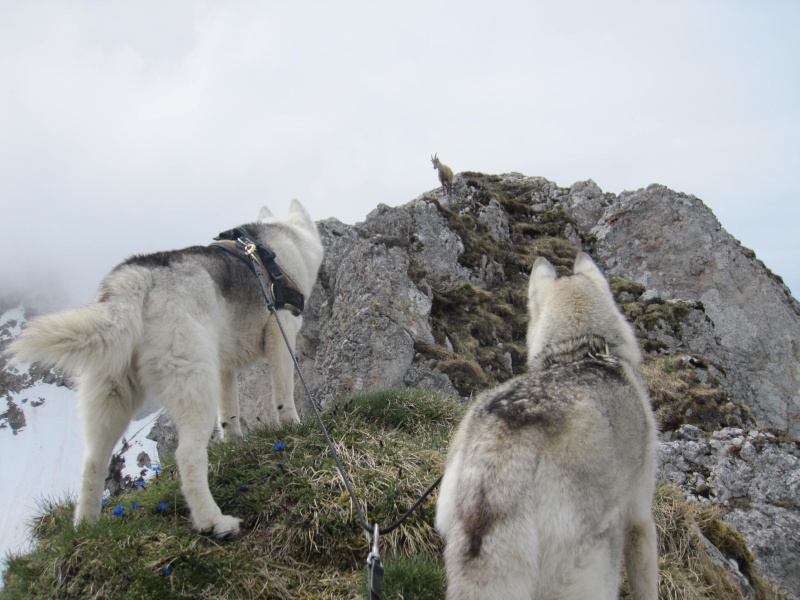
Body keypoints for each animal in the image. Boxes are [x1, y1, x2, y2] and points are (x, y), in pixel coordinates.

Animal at [7, 199, 322, 536]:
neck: (282, 242)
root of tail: (137, 278)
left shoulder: (224, 367)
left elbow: (229, 413)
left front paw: (235, 441)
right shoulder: (281, 334)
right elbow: (284, 393)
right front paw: (292, 426)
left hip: (110, 396)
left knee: (93, 461)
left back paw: (85, 527)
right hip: (194, 384)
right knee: (187, 455)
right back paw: (214, 522)